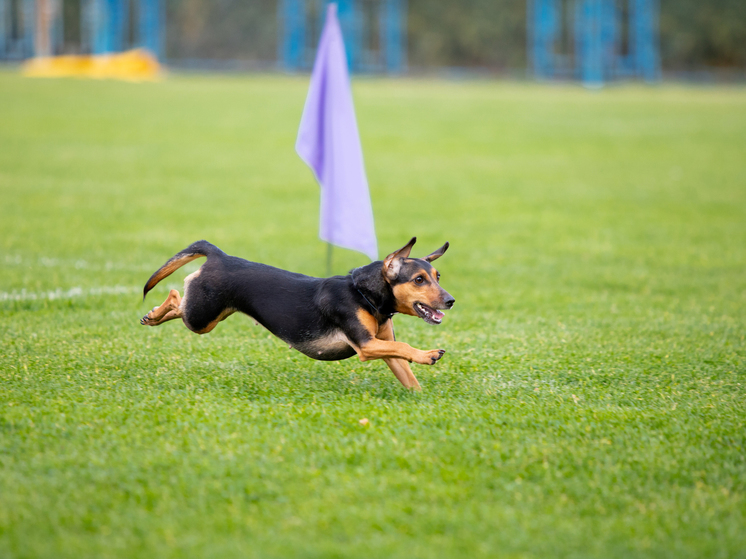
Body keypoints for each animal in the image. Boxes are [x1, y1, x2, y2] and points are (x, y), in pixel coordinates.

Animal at [140, 236, 454, 390]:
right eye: (419, 280)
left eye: (438, 276)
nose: (451, 301)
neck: (364, 294)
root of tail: (220, 256)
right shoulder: (366, 345)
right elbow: (405, 346)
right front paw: (428, 354)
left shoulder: (383, 345)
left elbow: (406, 370)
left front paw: (420, 399)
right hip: (202, 316)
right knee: (175, 295)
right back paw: (155, 313)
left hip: (210, 315)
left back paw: (152, 316)